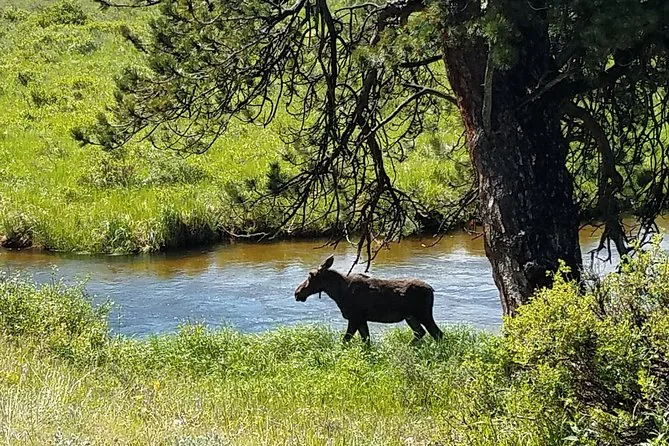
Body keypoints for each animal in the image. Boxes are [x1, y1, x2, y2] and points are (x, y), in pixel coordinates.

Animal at [294, 255, 443, 343]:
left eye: (310, 275)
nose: (297, 293)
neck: (338, 294)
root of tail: (432, 290)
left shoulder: (355, 317)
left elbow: (345, 341)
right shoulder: (361, 319)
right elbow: (366, 341)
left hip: (423, 314)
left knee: (437, 333)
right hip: (410, 317)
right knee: (421, 332)